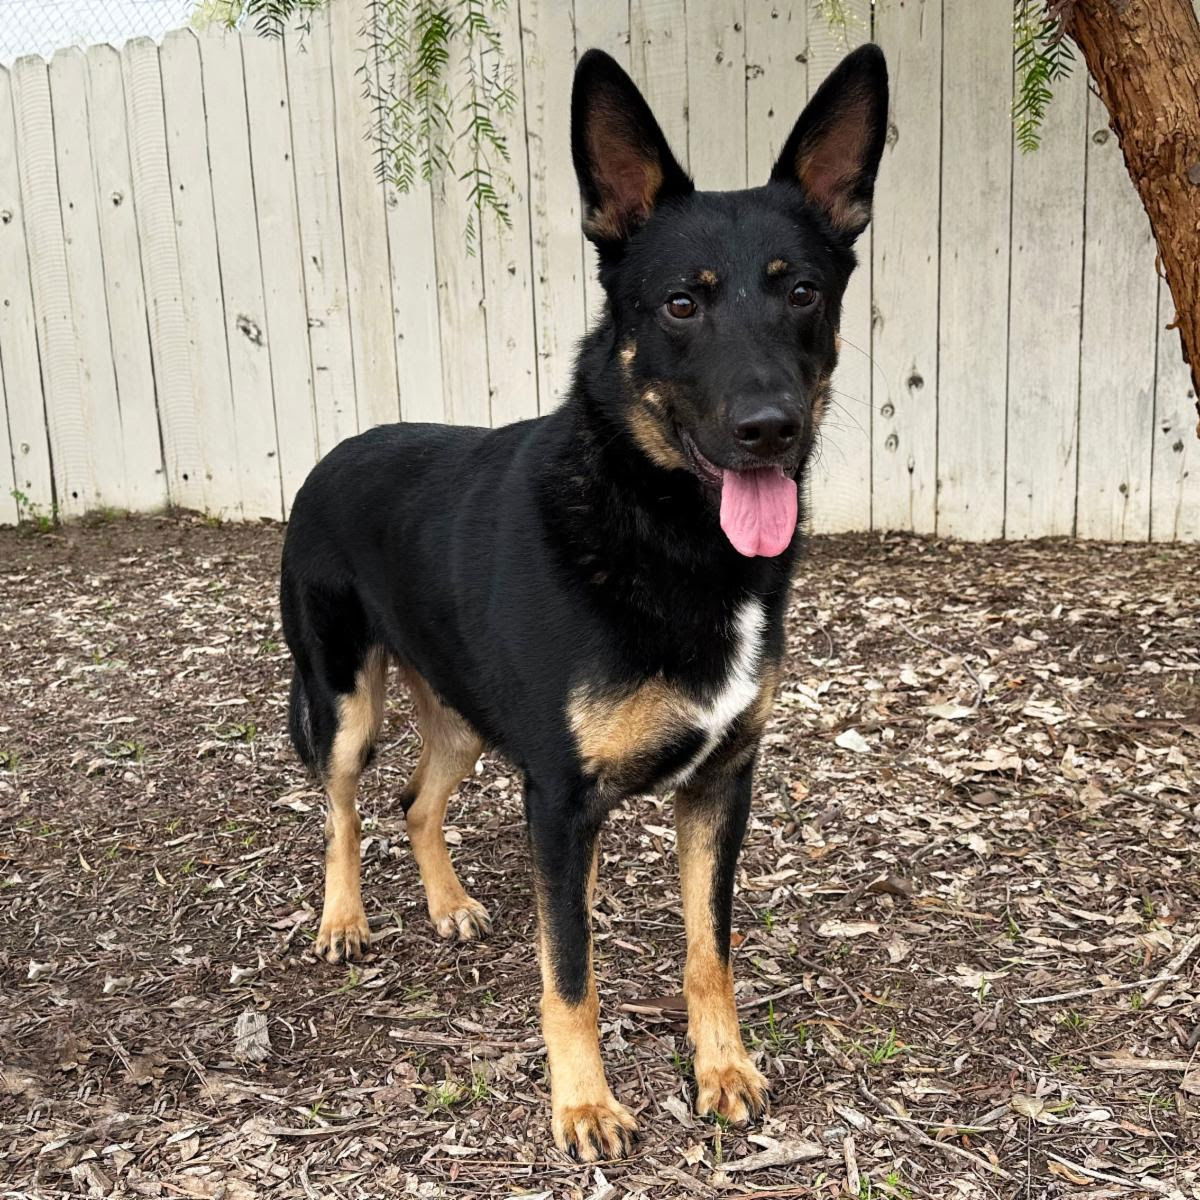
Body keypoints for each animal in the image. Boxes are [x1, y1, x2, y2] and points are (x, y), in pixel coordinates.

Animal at [278, 44, 883, 1161]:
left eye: (804, 293)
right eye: (681, 305)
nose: (769, 428)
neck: (656, 524)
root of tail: (337, 449)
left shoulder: (718, 787)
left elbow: (707, 949)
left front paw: (720, 1068)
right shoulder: (558, 796)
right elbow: (570, 972)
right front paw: (585, 1103)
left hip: (465, 717)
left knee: (415, 800)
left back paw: (450, 902)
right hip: (344, 699)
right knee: (341, 802)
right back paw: (343, 919)